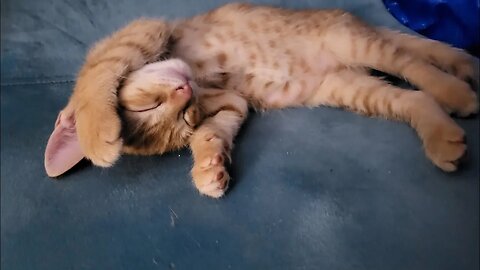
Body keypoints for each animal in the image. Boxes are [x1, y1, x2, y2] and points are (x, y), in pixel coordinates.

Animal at [44, 2, 476, 198]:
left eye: (143, 106)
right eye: (185, 118)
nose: (184, 91)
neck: (197, 79)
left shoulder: (145, 29)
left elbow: (99, 72)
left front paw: (96, 133)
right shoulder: (233, 102)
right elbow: (215, 131)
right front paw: (210, 168)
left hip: (355, 42)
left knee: (414, 64)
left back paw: (457, 91)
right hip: (347, 87)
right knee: (414, 97)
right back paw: (442, 134)